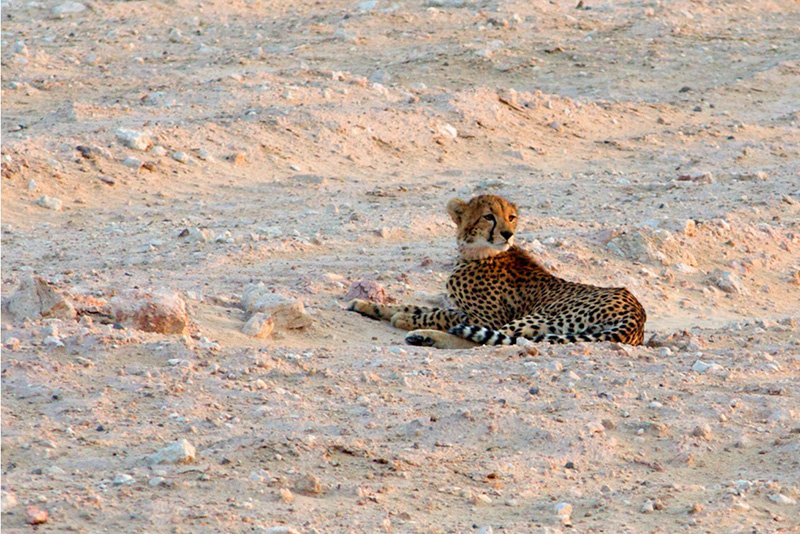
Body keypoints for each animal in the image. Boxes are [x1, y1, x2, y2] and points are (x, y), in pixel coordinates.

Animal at [346, 195, 648, 350]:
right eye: (489, 216)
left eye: (511, 217)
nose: (507, 233)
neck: (477, 253)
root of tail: (637, 314)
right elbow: (415, 305)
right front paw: (367, 305)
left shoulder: (485, 318)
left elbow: (440, 314)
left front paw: (406, 319)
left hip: (532, 319)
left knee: (485, 342)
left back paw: (423, 335)